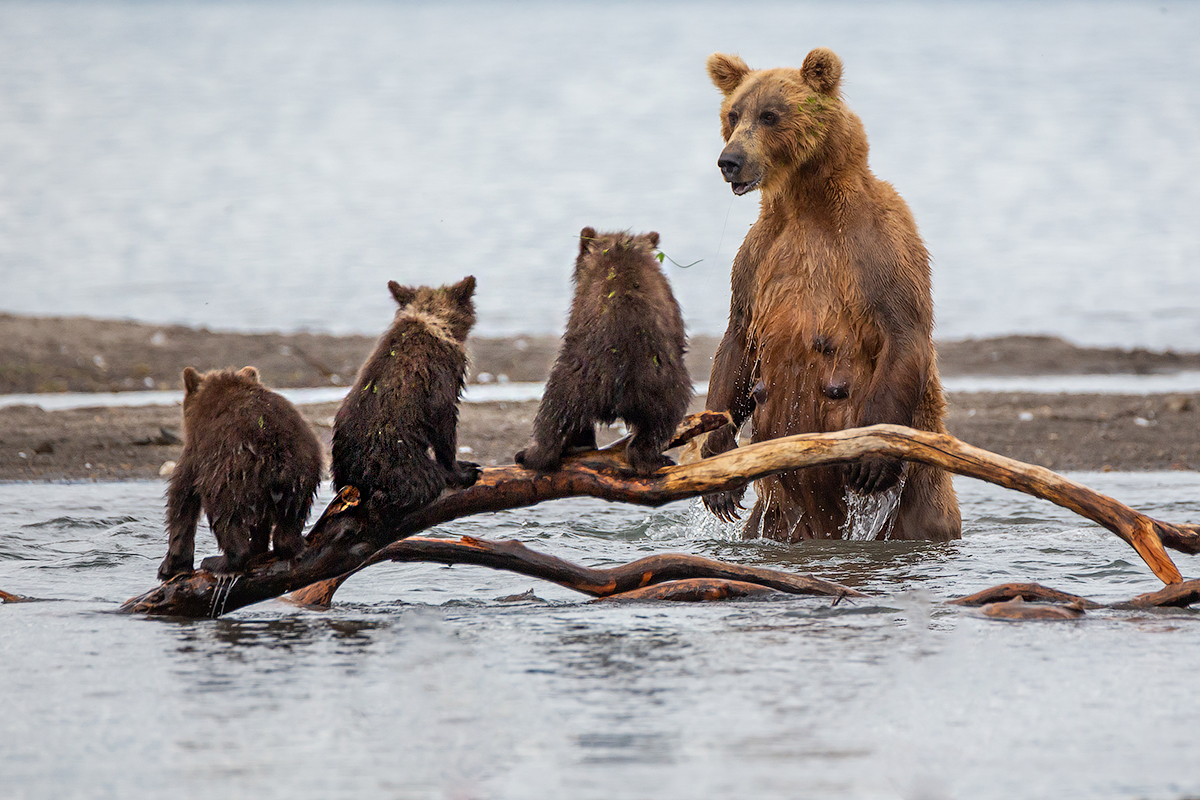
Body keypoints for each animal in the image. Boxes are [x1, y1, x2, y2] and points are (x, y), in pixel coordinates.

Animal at [158, 367, 324, 578]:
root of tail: (277, 453)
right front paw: (259, 546)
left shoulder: (197, 449)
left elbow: (182, 496)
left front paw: (171, 565)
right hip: (302, 473)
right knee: (292, 515)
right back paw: (294, 545)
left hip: (229, 471)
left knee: (222, 512)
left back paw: (219, 562)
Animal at [516, 226, 696, 474]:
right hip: (658, 383)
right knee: (659, 423)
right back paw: (650, 459)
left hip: (576, 377)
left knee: (553, 415)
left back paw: (537, 455)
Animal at [700, 47, 960, 542]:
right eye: (733, 114)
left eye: (770, 114)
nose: (730, 160)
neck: (806, 202)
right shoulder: (758, 257)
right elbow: (738, 338)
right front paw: (718, 466)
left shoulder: (879, 244)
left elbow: (903, 330)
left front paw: (872, 461)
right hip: (778, 514)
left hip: (917, 497)